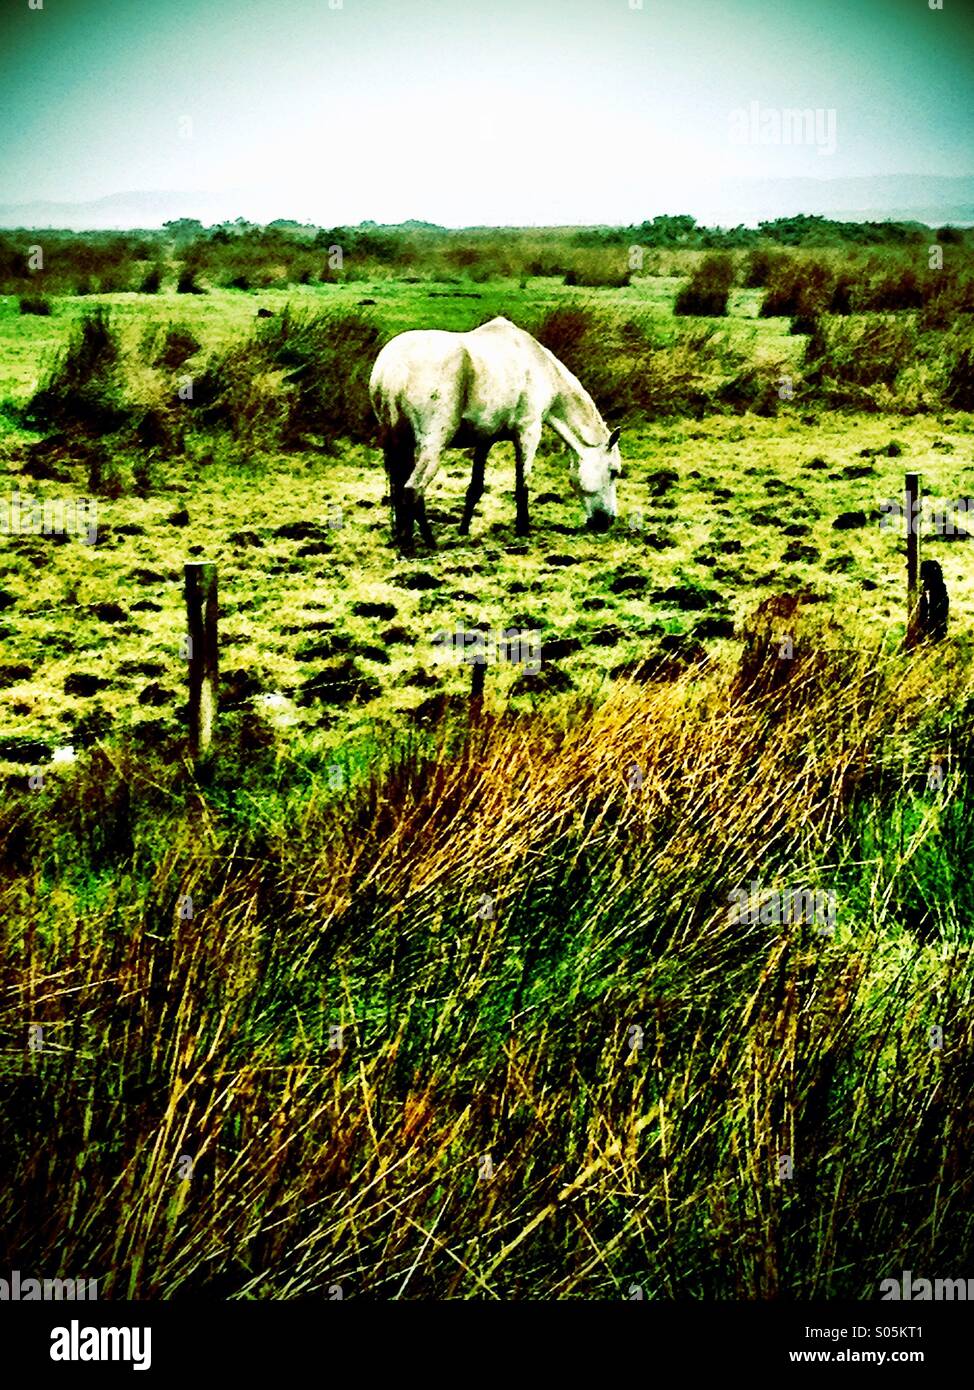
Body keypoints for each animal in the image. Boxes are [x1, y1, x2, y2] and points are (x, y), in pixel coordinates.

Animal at [368, 316, 621, 549]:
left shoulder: (484, 440)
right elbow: (522, 486)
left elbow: (475, 488)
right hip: (432, 447)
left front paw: (464, 529)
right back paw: (426, 544)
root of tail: (392, 366)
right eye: (614, 472)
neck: (538, 365)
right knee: (413, 490)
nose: (607, 521)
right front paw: (523, 529)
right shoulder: (528, 434)